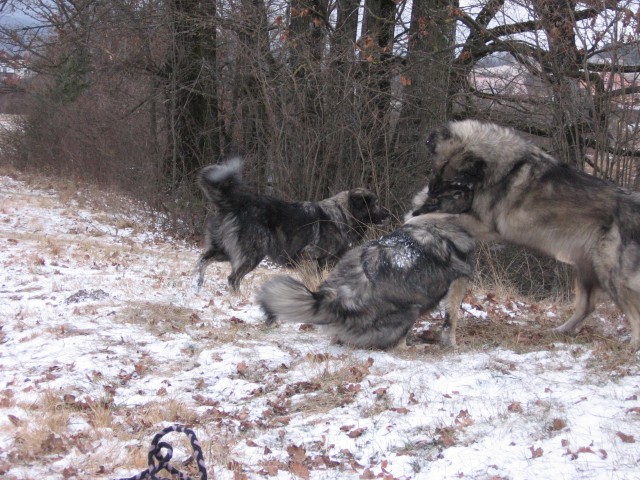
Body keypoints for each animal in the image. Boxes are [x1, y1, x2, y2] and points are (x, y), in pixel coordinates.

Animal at [192, 159, 388, 290]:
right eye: (376, 204)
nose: (387, 215)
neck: (342, 214)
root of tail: (236, 203)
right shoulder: (309, 257)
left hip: (226, 249)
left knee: (203, 260)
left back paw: (196, 285)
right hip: (253, 253)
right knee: (233, 278)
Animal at [416, 117, 640, 346]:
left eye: (453, 182)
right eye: (435, 170)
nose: (431, 193)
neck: (505, 167)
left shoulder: (484, 224)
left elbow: (436, 218)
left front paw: (416, 219)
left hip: (609, 272)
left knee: (633, 315)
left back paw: (632, 346)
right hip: (586, 268)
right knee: (587, 306)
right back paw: (558, 331)